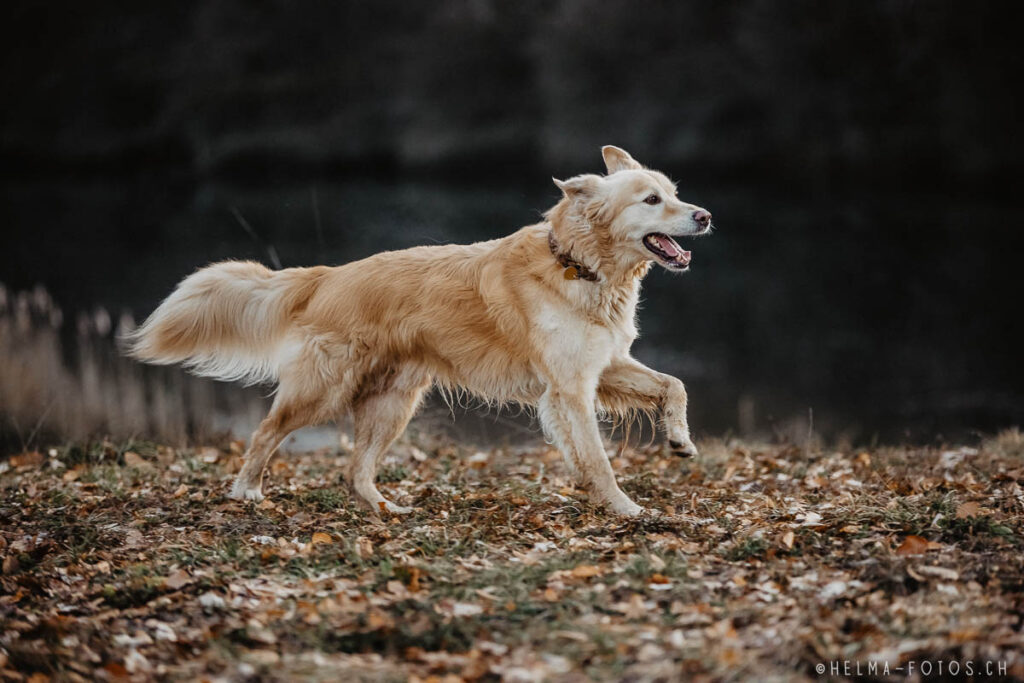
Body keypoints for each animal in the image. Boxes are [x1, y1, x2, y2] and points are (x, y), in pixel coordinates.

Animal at [125, 147, 712, 516]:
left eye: (674, 193)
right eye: (651, 200)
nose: (705, 216)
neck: (579, 264)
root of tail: (327, 275)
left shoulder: (604, 366)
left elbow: (675, 385)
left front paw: (679, 439)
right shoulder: (570, 388)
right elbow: (598, 459)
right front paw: (625, 509)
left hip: (393, 404)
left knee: (355, 470)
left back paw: (385, 509)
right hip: (324, 391)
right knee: (266, 432)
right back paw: (246, 490)